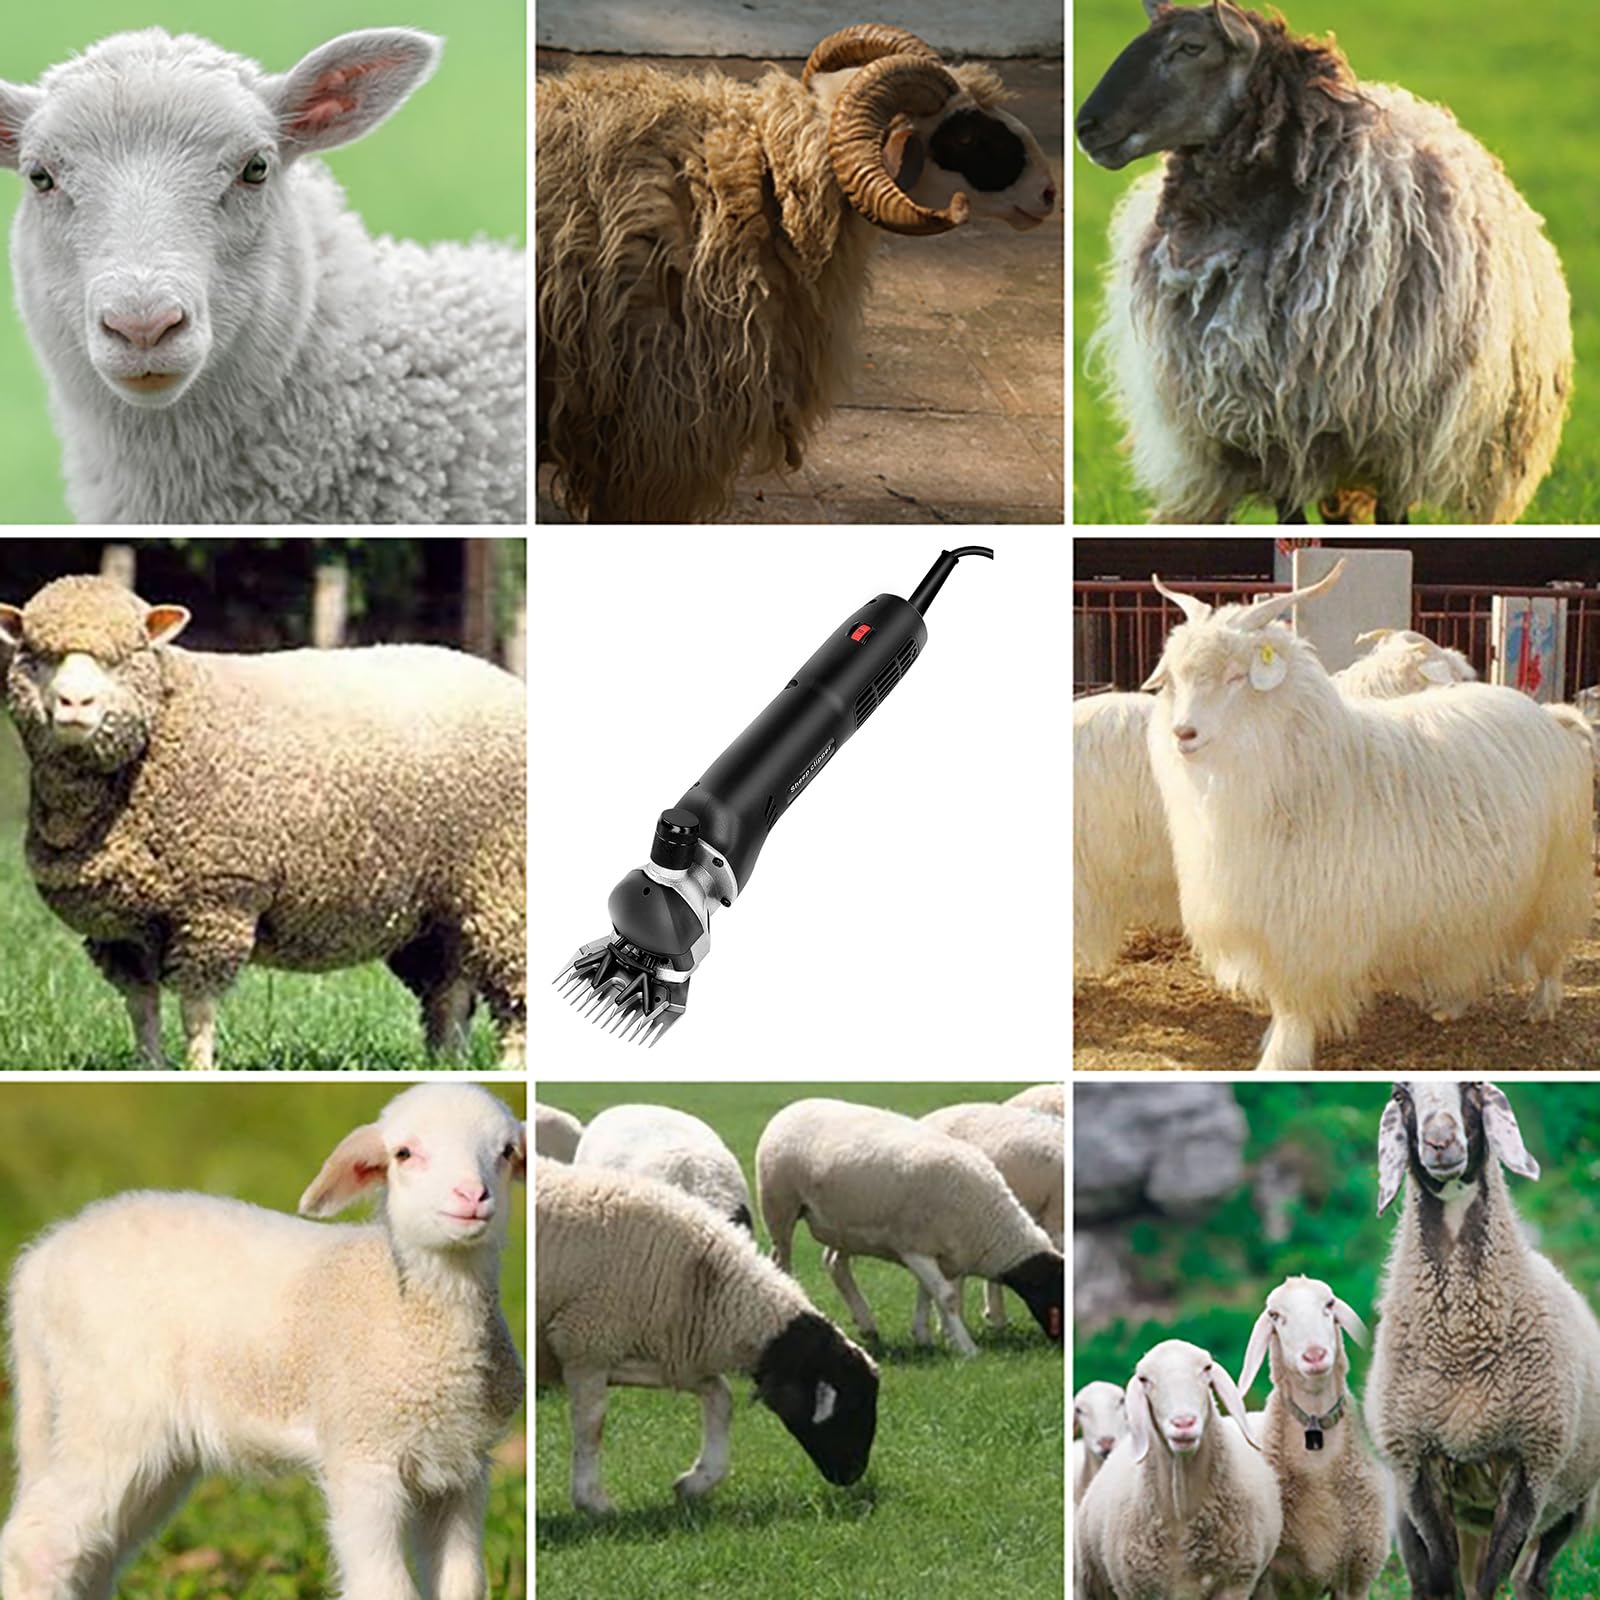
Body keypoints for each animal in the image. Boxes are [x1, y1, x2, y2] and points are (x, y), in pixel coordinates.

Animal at [0, 574, 526, 1070]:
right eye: (36, 656)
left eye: (124, 657)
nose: (74, 704)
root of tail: (504, 679)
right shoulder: (121, 929)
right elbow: (142, 1008)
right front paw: (150, 1067)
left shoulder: (216, 902)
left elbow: (197, 1010)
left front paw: (199, 1070)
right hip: (439, 911)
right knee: (451, 995)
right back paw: (448, 1062)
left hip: (503, 884)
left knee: (512, 991)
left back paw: (508, 1065)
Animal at [0, 1083, 526, 1600]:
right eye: (404, 1153)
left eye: (505, 1152)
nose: (472, 1195)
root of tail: (38, 1265)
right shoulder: (361, 1454)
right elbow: (385, 1588)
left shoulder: (461, 1468)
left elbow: (463, 1583)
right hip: (110, 1411)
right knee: (35, 1543)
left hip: (148, 1451)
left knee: (93, 1557)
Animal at [535, 1159, 878, 1515]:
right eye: (854, 1403)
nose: (854, 1474)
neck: (702, 1280)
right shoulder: (584, 1343)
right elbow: (592, 1425)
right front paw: (593, 1502)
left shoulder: (660, 1355)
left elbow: (721, 1397)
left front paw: (695, 1483)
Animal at [1142, 561, 1593, 1068]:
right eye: (1174, 680)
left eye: (1238, 676)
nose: (1184, 733)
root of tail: (1549, 715)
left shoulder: (1305, 931)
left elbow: (1292, 1006)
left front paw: (1281, 1056)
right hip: (1476, 901)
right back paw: (1451, 1003)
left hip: (1555, 880)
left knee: (1551, 951)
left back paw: (1543, 1004)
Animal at [1365, 1080, 1600, 1599]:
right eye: (1400, 1095)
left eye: (1473, 1087)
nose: (1440, 1142)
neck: (1461, 1344)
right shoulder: (1418, 1471)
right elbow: (1441, 1579)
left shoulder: (1529, 1470)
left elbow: (1491, 1583)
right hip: (1413, 1509)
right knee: (1426, 1578)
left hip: (1571, 1501)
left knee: (1532, 1578)